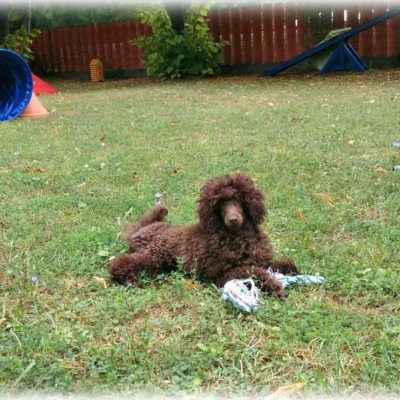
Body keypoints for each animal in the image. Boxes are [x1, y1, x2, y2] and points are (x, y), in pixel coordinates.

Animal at [108, 173, 298, 298]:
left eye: (239, 200)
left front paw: (288, 269)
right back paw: (128, 279)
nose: (233, 219)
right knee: (119, 261)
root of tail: (142, 228)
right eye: (220, 204)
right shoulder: (222, 275)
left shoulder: (260, 259)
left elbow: (275, 265)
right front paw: (275, 286)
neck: (236, 237)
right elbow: (255, 271)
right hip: (154, 255)